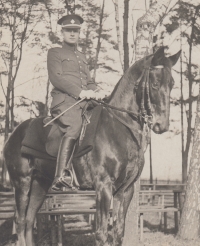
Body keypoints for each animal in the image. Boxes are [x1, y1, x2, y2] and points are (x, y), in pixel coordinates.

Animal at [3, 47, 180, 245]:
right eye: (155, 84)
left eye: (172, 83)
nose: (161, 125)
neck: (119, 127)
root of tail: (13, 134)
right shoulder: (103, 187)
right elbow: (101, 233)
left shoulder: (125, 190)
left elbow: (118, 233)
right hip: (22, 183)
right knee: (20, 221)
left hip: (40, 184)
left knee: (28, 220)